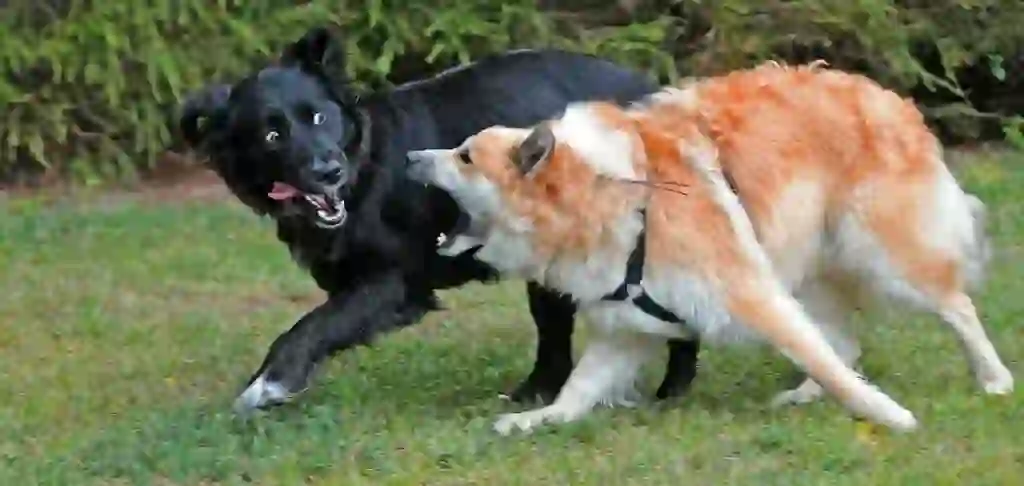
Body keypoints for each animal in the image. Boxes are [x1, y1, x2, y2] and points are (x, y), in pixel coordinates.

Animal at [178, 27, 704, 415]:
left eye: (320, 117)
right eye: (272, 135)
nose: (329, 170)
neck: (365, 167)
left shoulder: (394, 282)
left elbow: (309, 326)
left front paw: (267, 385)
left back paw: (670, 393)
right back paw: (535, 392)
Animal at [403, 62, 1011, 435]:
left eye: (464, 157)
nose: (411, 157)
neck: (609, 193)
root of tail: (886, 96)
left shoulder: (750, 293)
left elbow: (823, 360)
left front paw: (889, 416)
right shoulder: (627, 327)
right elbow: (577, 389)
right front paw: (538, 418)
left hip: (884, 257)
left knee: (955, 307)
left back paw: (995, 379)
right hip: (808, 264)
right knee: (844, 340)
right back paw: (804, 396)